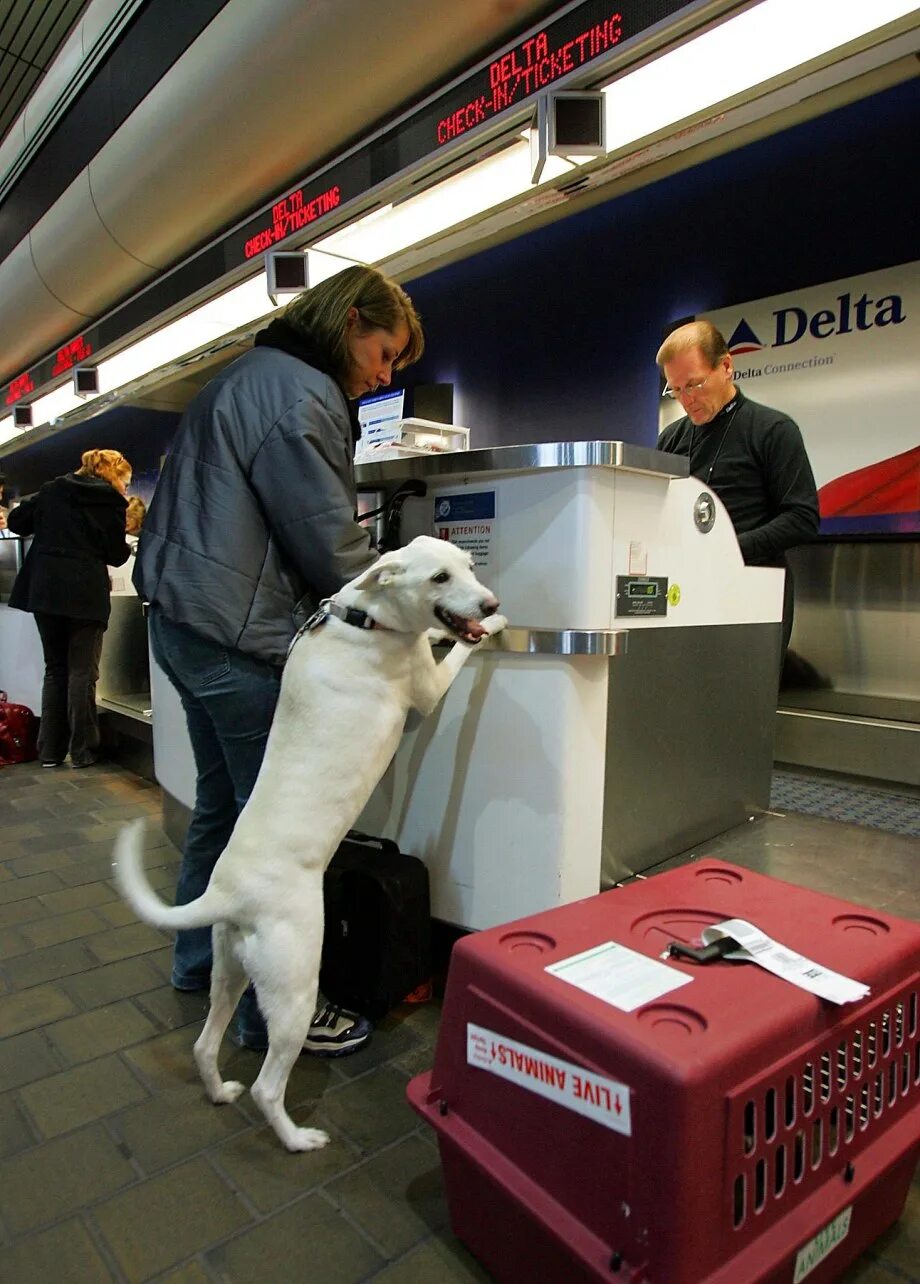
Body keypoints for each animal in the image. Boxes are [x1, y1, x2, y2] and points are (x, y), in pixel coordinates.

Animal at [115, 534, 505, 1155]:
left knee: (204, 1043)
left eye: (468, 566)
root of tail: (227, 895)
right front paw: (492, 628)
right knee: (267, 1086)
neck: (366, 618)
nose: (489, 602)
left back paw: (219, 1091)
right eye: (440, 578)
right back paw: (298, 1139)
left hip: (230, 970)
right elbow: (455, 656)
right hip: (295, 987)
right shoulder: (426, 688)